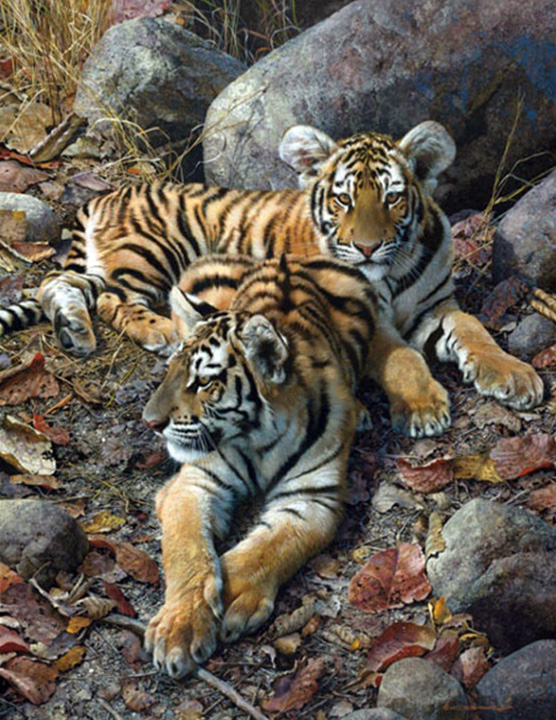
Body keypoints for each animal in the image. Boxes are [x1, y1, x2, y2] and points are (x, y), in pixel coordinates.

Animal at [0, 121, 542, 435]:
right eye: (343, 199)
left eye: (392, 197)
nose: (367, 247)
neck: (394, 268)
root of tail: (104, 196)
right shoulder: (362, 317)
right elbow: (401, 356)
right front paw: (424, 406)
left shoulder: (436, 306)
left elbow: (475, 330)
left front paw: (514, 376)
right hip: (151, 251)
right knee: (111, 298)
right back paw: (158, 330)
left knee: (57, 286)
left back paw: (74, 332)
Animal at [141, 252, 444, 677]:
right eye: (170, 370)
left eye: (203, 383)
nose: (149, 422)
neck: (256, 438)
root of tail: (295, 255)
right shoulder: (196, 482)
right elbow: (186, 550)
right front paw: (180, 626)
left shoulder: (312, 498)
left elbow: (269, 547)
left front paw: (232, 596)